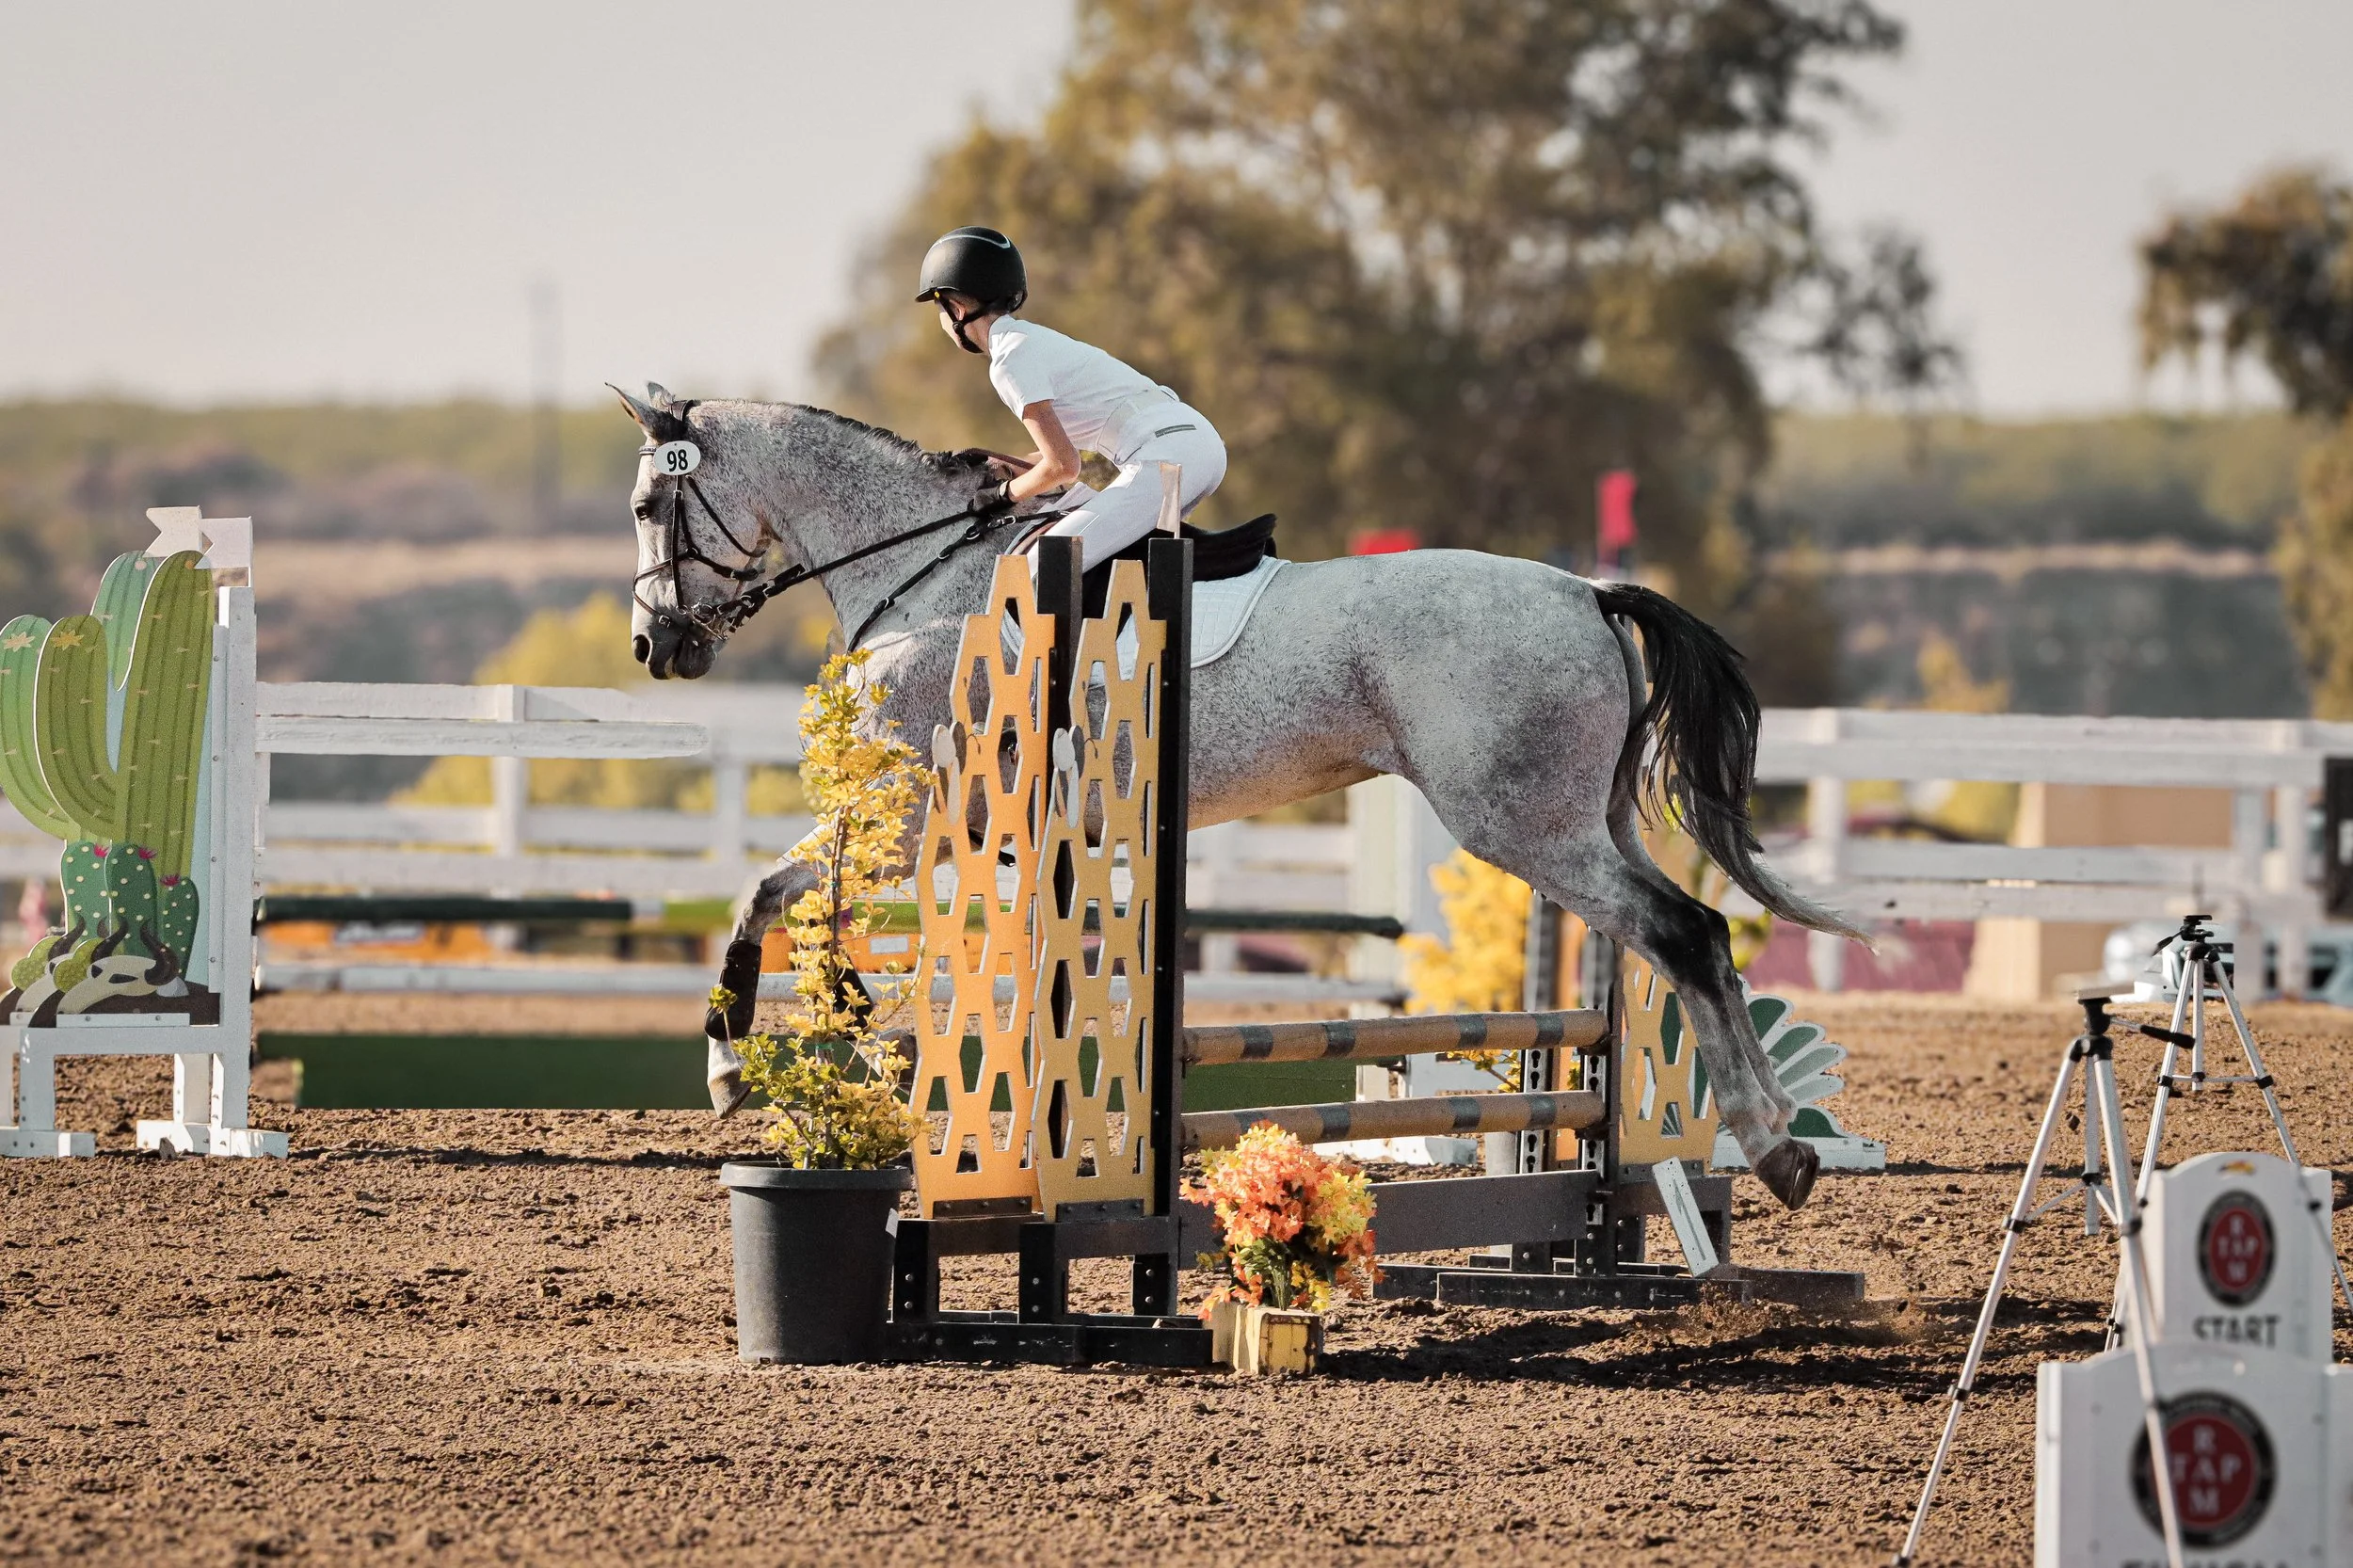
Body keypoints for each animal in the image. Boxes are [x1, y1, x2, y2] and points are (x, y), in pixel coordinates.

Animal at [612, 383, 1860, 1209]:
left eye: (644, 509)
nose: (654, 648)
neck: (923, 574)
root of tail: (1588, 593)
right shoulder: (972, 827)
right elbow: (810, 903)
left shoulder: (917, 813)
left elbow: (767, 893)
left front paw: (739, 1064)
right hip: (1580, 820)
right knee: (1687, 939)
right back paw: (1778, 1148)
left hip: (1521, 823)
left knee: (1681, 931)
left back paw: (1771, 1143)